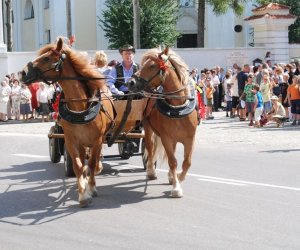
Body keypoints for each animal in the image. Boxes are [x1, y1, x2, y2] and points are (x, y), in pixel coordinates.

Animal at [19, 37, 113, 207]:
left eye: (46, 58)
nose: (22, 73)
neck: (80, 107)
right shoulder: (71, 140)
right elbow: (78, 165)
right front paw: (83, 194)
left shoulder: (97, 140)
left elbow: (92, 163)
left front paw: (92, 187)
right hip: (82, 142)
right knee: (84, 160)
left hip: (99, 139)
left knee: (94, 160)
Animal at [128, 47, 197, 198]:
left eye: (152, 65)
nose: (130, 82)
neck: (177, 108)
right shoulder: (166, 138)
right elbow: (173, 162)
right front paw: (176, 187)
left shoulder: (190, 139)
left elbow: (187, 163)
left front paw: (177, 178)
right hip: (148, 128)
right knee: (149, 147)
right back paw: (151, 172)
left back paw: (171, 176)